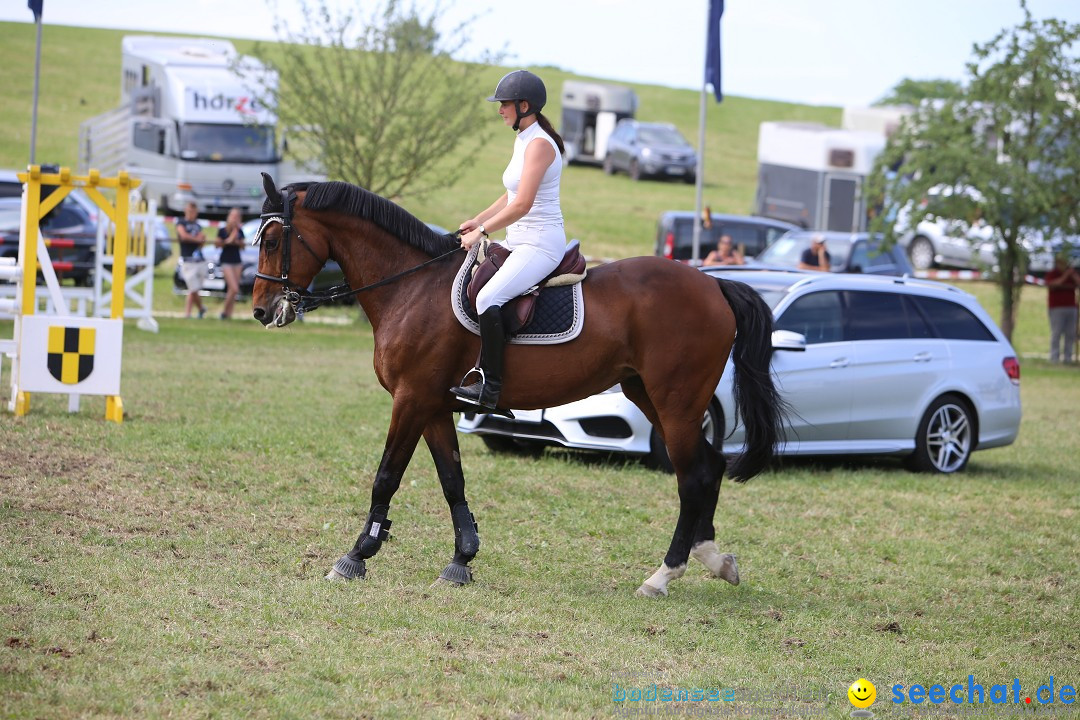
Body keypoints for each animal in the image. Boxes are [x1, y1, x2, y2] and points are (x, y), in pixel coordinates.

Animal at [248, 172, 781, 595]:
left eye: (272, 242)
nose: (260, 310)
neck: (409, 286)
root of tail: (713, 284)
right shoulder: (434, 404)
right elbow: (452, 479)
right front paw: (462, 559)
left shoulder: (411, 399)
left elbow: (387, 476)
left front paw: (357, 555)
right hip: (650, 396)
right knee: (710, 467)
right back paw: (716, 561)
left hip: (676, 402)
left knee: (691, 478)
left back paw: (663, 575)